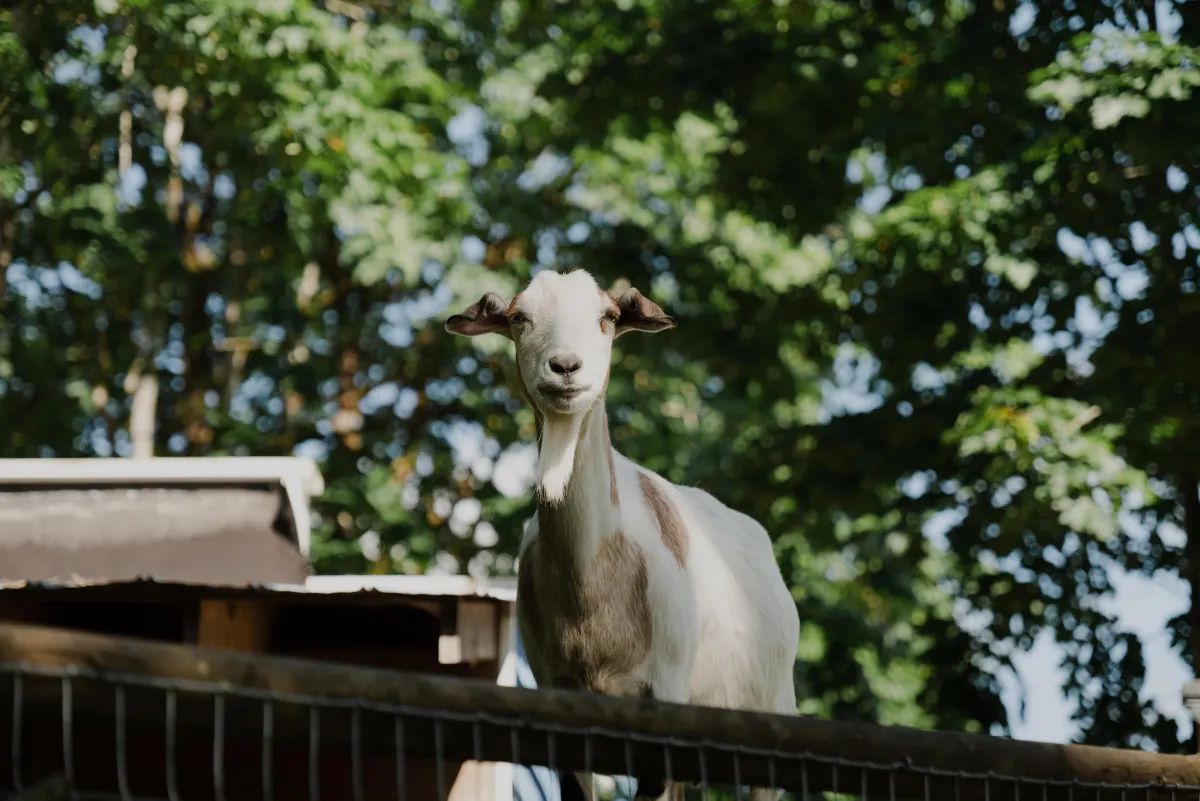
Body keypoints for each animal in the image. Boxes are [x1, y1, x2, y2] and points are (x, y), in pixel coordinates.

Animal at [446, 270, 801, 801]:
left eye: (607, 317)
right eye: (519, 317)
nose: (565, 367)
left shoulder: (665, 691)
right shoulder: (557, 691)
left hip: (771, 709)